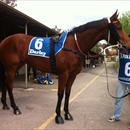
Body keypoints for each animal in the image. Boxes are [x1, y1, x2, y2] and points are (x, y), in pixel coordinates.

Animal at [0, 10, 130, 123]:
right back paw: (15, 108)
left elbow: (67, 93)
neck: (73, 46)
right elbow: (60, 94)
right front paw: (58, 116)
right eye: (118, 27)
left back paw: (5, 105)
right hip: (11, 68)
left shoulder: (72, 75)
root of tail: (4, 40)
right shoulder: (64, 74)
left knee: (5, 83)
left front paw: (67, 114)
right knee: (9, 85)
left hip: (13, 67)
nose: (127, 45)